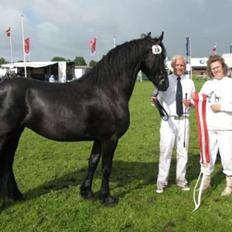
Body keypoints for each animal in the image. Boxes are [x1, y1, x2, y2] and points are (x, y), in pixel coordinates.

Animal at [0, 31, 169, 206]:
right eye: (161, 56)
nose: (165, 83)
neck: (108, 91)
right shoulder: (110, 139)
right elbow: (106, 167)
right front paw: (106, 197)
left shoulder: (99, 138)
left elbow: (93, 162)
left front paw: (86, 192)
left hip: (15, 134)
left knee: (8, 161)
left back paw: (15, 196)